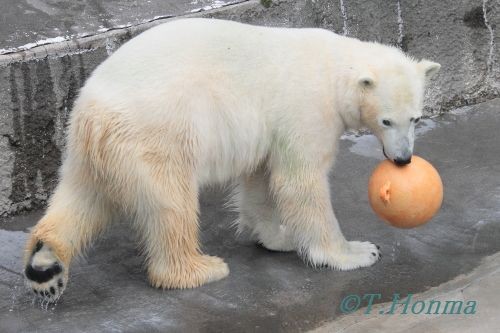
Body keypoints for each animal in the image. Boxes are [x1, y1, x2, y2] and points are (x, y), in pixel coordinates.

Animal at [23, 16, 440, 300]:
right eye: (386, 120)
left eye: (416, 118)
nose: (403, 159)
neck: (333, 67)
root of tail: (90, 112)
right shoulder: (305, 110)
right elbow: (300, 181)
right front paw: (356, 252)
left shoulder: (271, 130)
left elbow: (261, 177)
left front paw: (277, 237)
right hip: (155, 132)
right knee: (169, 203)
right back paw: (198, 269)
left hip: (94, 148)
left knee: (83, 197)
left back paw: (46, 264)